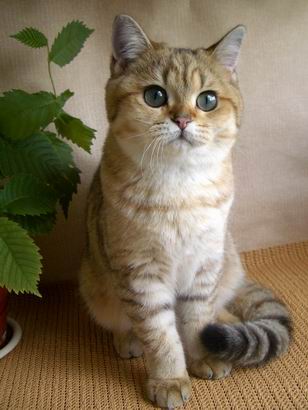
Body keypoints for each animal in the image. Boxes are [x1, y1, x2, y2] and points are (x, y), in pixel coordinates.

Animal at [79, 14, 292, 408]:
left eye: (207, 100)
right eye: (155, 96)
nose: (182, 120)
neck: (179, 190)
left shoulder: (205, 266)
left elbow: (196, 321)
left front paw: (205, 355)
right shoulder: (141, 276)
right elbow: (161, 335)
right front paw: (169, 379)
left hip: (227, 258)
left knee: (220, 305)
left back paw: (227, 325)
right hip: (94, 283)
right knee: (122, 323)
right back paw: (128, 340)